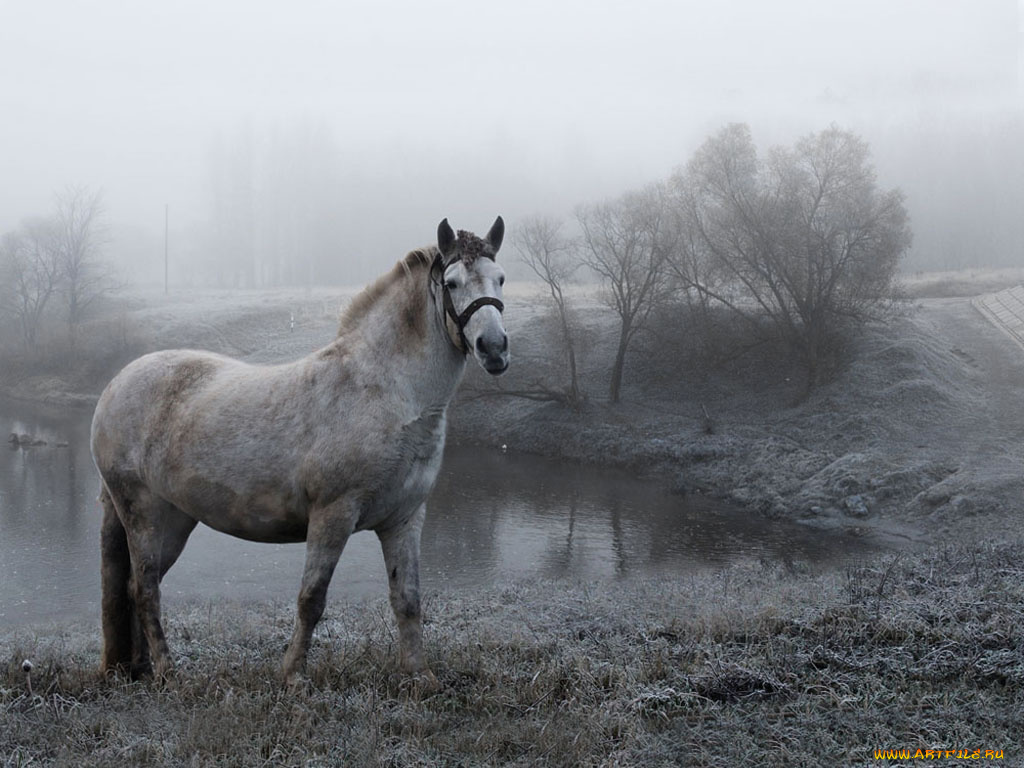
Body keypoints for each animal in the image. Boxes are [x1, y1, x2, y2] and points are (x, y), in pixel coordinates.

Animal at [90, 217, 505, 684]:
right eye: (451, 283)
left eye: (501, 279)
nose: (494, 348)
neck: (385, 393)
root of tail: (117, 383)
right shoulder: (332, 515)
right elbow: (312, 600)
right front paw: (293, 676)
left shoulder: (405, 520)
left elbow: (408, 599)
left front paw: (419, 675)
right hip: (141, 511)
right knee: (144, 588)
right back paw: (167, 670)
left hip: (176, 519)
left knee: (136, 587)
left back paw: (142, 668)